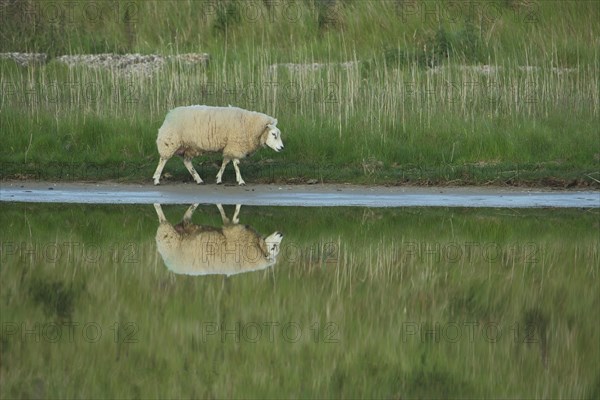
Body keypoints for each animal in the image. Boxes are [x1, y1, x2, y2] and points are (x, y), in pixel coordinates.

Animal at [151, 104, 284, 186]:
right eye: (273, 134)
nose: (282, 148)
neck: (250, 125)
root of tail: (169, 114)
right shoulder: (235, 144)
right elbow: (236, 163)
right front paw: (240, 181)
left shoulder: (230, 146)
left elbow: (226, 161)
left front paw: (219, 178)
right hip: (170, 141)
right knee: (163, 159)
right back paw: (156, 179)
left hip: (188, 147)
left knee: (187, 162)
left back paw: (199, 179)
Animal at [155, 205, 286, 276]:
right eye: (274, 247)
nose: (281, 233)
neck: (258, 247)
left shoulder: (233, 230)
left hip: (169, 235)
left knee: (169, 220)